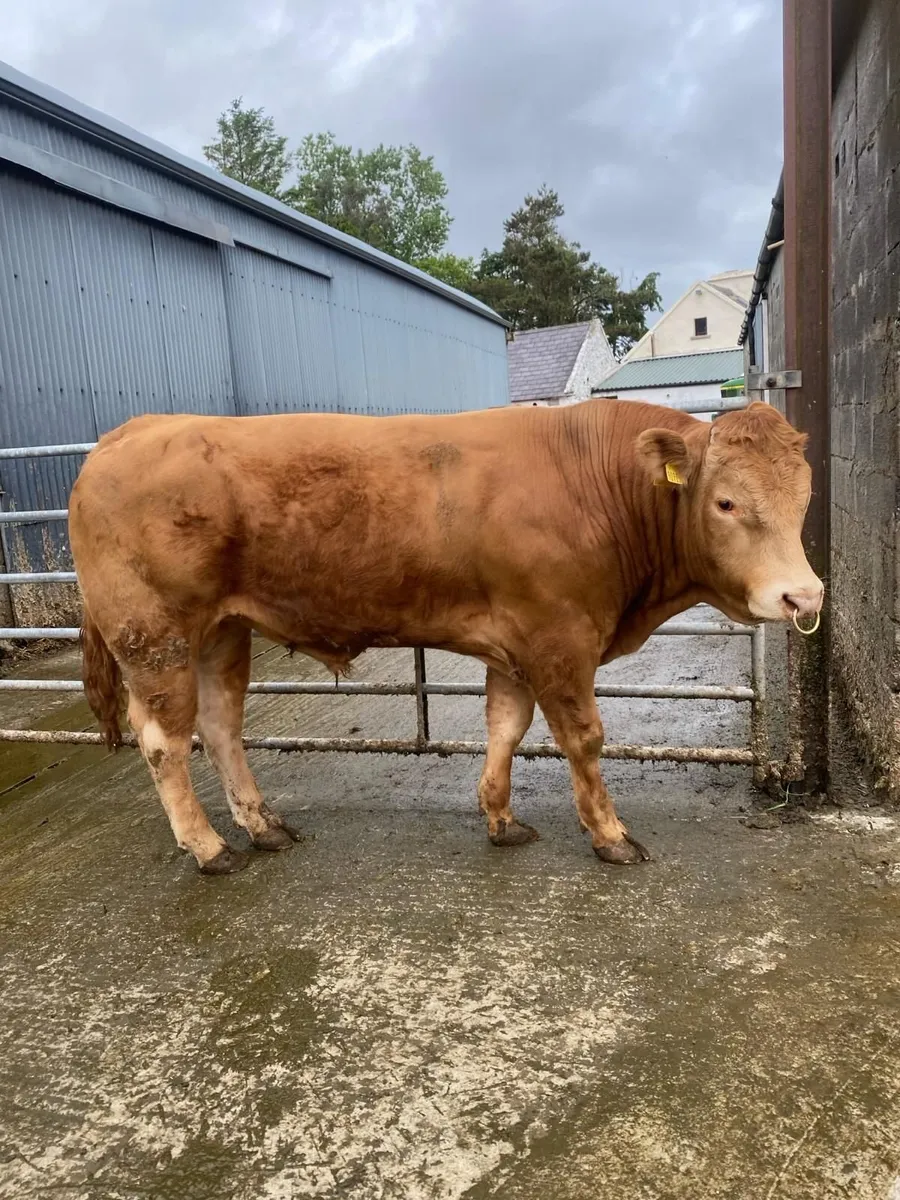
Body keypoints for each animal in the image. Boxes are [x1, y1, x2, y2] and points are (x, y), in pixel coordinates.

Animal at [68, 399, 823, 875]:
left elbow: (505, 728)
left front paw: (501, 818)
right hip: (155, 635)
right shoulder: (559, 638)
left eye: (805, 498)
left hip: (222, 631)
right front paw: (609, 834)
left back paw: (262, 827)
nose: (804, 596)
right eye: (725, 501)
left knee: (221, 725)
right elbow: (583, 738)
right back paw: (207, 848)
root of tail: (130, 432)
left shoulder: (519, 643)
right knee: (163, 740)